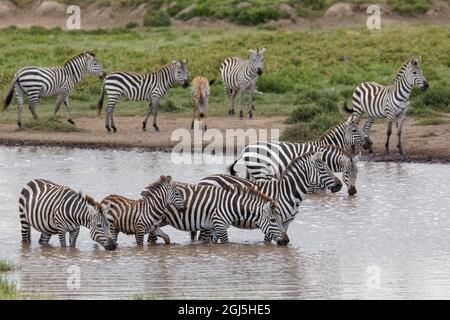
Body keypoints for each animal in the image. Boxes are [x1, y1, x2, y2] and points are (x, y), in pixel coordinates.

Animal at [199, 151, 342, 241]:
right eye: (323, 169)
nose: (339, 185)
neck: (287, 193)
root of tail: (203, 180)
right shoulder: (272, 221)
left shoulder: (285, 224)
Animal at [230, 142, 360, 195]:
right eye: (346, 173)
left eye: (357, 173)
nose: (353, 192)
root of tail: (245, 149)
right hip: (259, 171)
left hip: (253, 171)